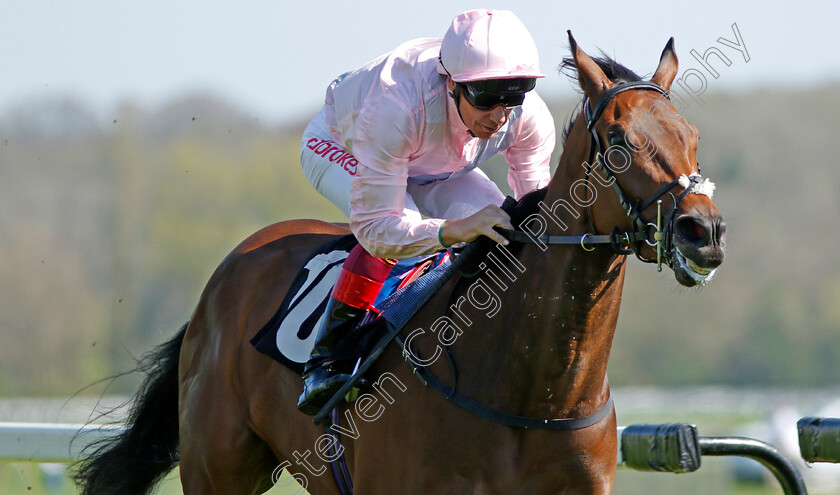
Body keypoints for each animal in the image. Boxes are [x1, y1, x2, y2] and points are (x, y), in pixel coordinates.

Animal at [75, 33, 724, 494]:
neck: (533, 395)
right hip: (219, 469)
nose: (704, 232)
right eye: (618, 141)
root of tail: (227, 273)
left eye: (692, 135)